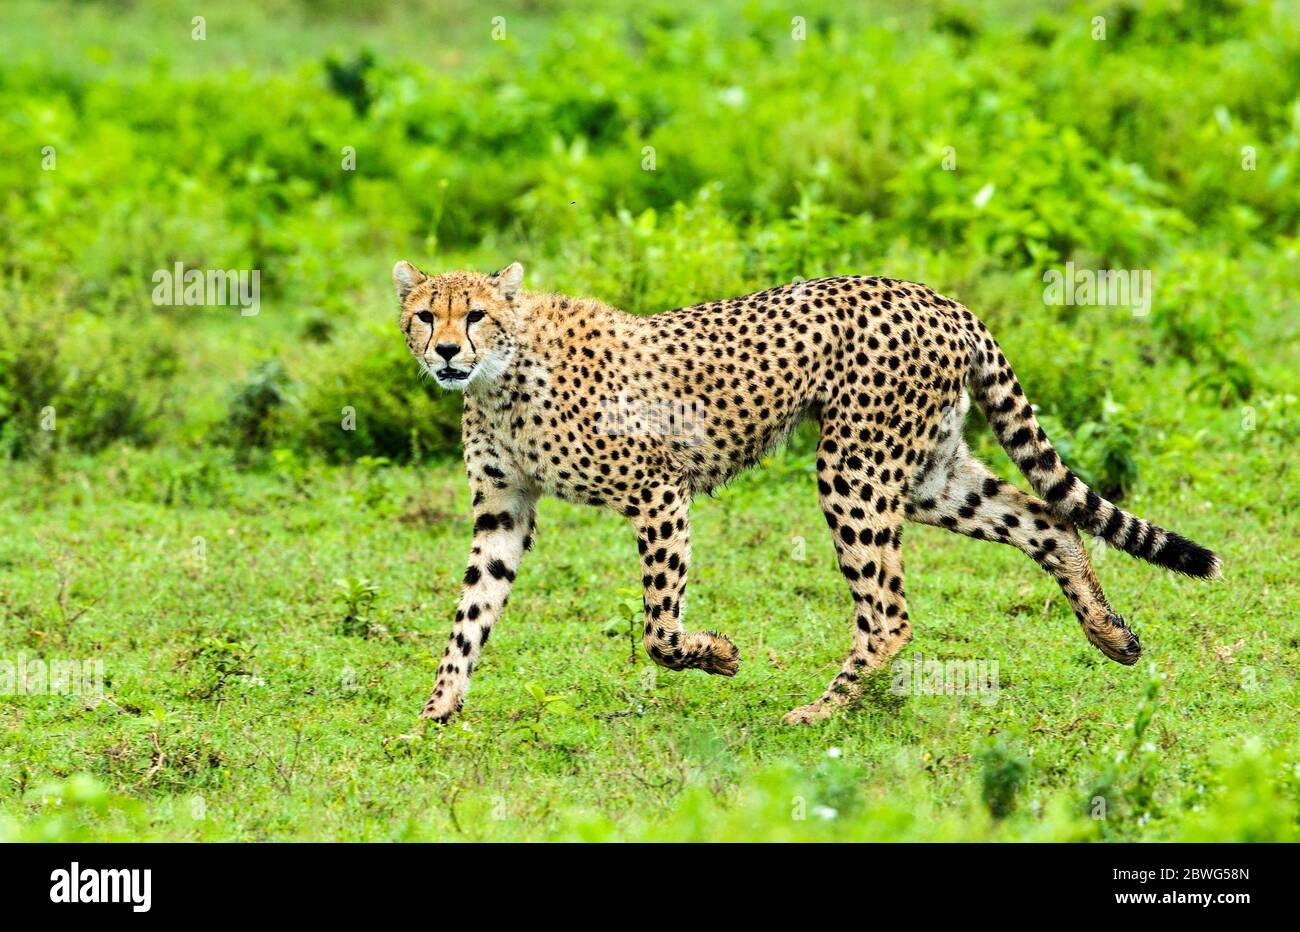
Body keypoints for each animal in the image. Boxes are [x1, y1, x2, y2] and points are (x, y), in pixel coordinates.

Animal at [393, 259, 1221, 725]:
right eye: (424, 315)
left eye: (475, 314)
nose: (445, 351)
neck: (502, 374)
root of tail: (936, 296)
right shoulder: (503, 511)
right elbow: (471, 615)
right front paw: (434, 712)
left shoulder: (659, 488)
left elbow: (659, 628)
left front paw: (719, 656)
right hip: (927, 476)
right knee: (1048, 520)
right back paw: (1110, 633)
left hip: (853, 469)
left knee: (889, 613)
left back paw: (821, 712)